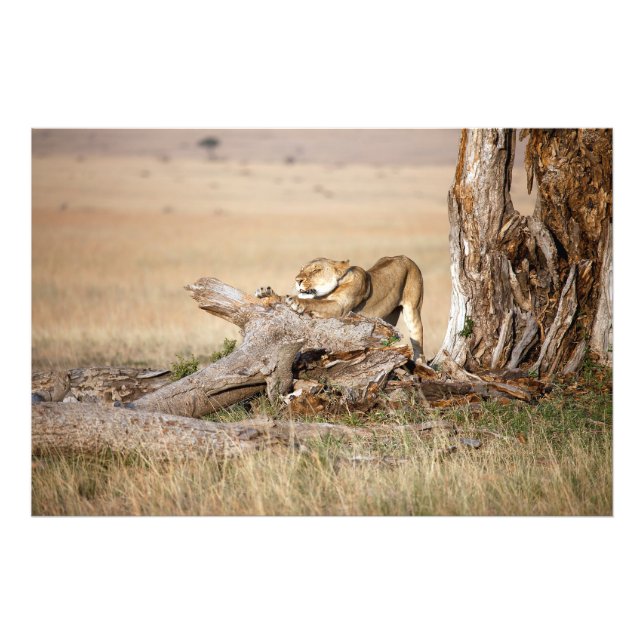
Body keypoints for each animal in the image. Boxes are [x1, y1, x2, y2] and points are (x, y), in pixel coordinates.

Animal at [255, 255, 425, 362]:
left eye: (316, 270)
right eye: (301, 269)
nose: (297, 280)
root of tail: (404, 257)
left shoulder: (340, 308)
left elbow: (314, 304)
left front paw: (296, 301)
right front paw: (266, 293)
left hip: (413, 311)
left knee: (418, 343)